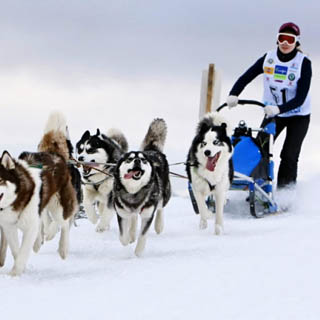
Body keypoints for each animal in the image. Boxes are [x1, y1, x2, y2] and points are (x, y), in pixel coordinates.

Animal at [114, 119, 171, 256]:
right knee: (134, 217)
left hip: (163, 194)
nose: (137, 161)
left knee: (160, 207)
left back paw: (159, 225)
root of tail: (153, 150)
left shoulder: (147, 215)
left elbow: (143, 235)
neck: (134, 192)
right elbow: (122, 236)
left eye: (143, 160)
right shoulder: (122, 214)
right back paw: (132, 233)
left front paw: (138, 252)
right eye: (129, 159)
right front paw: (127, 239)